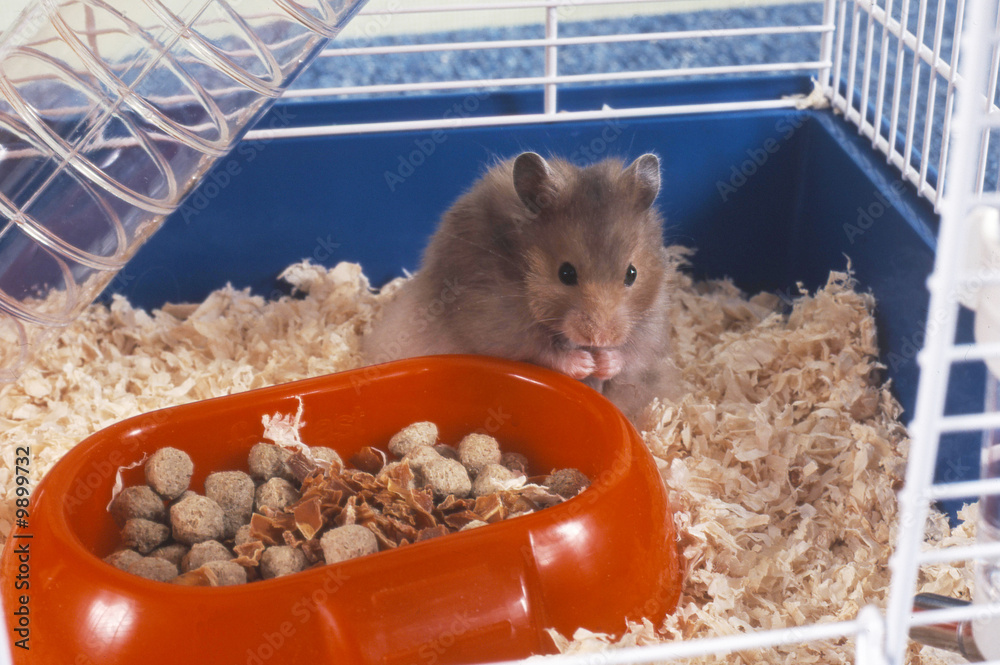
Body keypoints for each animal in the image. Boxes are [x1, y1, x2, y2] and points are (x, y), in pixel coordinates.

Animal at [366, 151, 680, 420]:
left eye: (632, 273)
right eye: (565, 273)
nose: (599, 339)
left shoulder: (652, 321)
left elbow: (631, 353)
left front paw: (602, 363)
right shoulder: (497, 324)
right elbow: (541, 351)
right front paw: (585, 364)